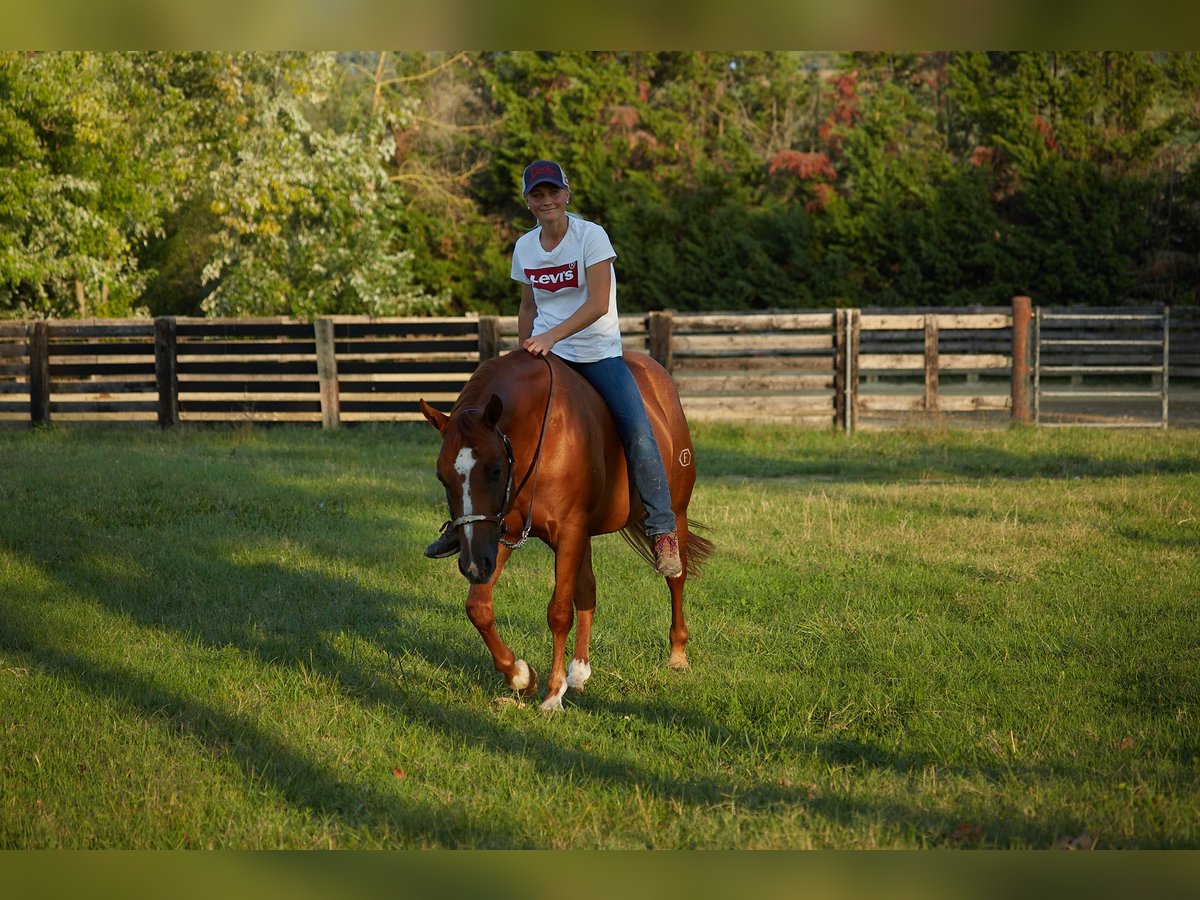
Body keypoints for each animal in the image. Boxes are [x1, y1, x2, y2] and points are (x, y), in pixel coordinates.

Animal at [418, 348, 713, 711]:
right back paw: (579, 672)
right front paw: (521, 676)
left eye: (496, 469)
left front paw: (551, 694)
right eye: (441, 476)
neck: (537, 434)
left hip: (677, 513)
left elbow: (558, 612)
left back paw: (677, 655)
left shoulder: (566, 532)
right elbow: (478, 608)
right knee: (588, 591)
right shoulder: (504, 534)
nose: (473, 565)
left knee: (676, 579)